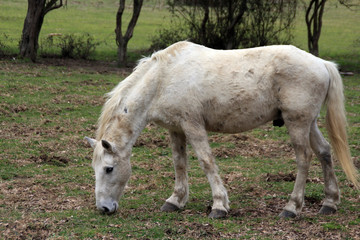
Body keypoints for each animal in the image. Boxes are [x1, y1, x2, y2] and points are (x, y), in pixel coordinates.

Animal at [86, 41, 358, 219]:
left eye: (109, 169)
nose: (103, 208)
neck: (164, 78)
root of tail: (322, 63)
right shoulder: (176, 130)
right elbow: (179, 164)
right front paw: (175, 201)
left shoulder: (193, 126)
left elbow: (206, 162)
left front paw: (219, 206)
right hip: (308, 123)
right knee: (324, 152)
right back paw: (329, 203)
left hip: (297, 124)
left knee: (304, 159)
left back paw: (291, 208)